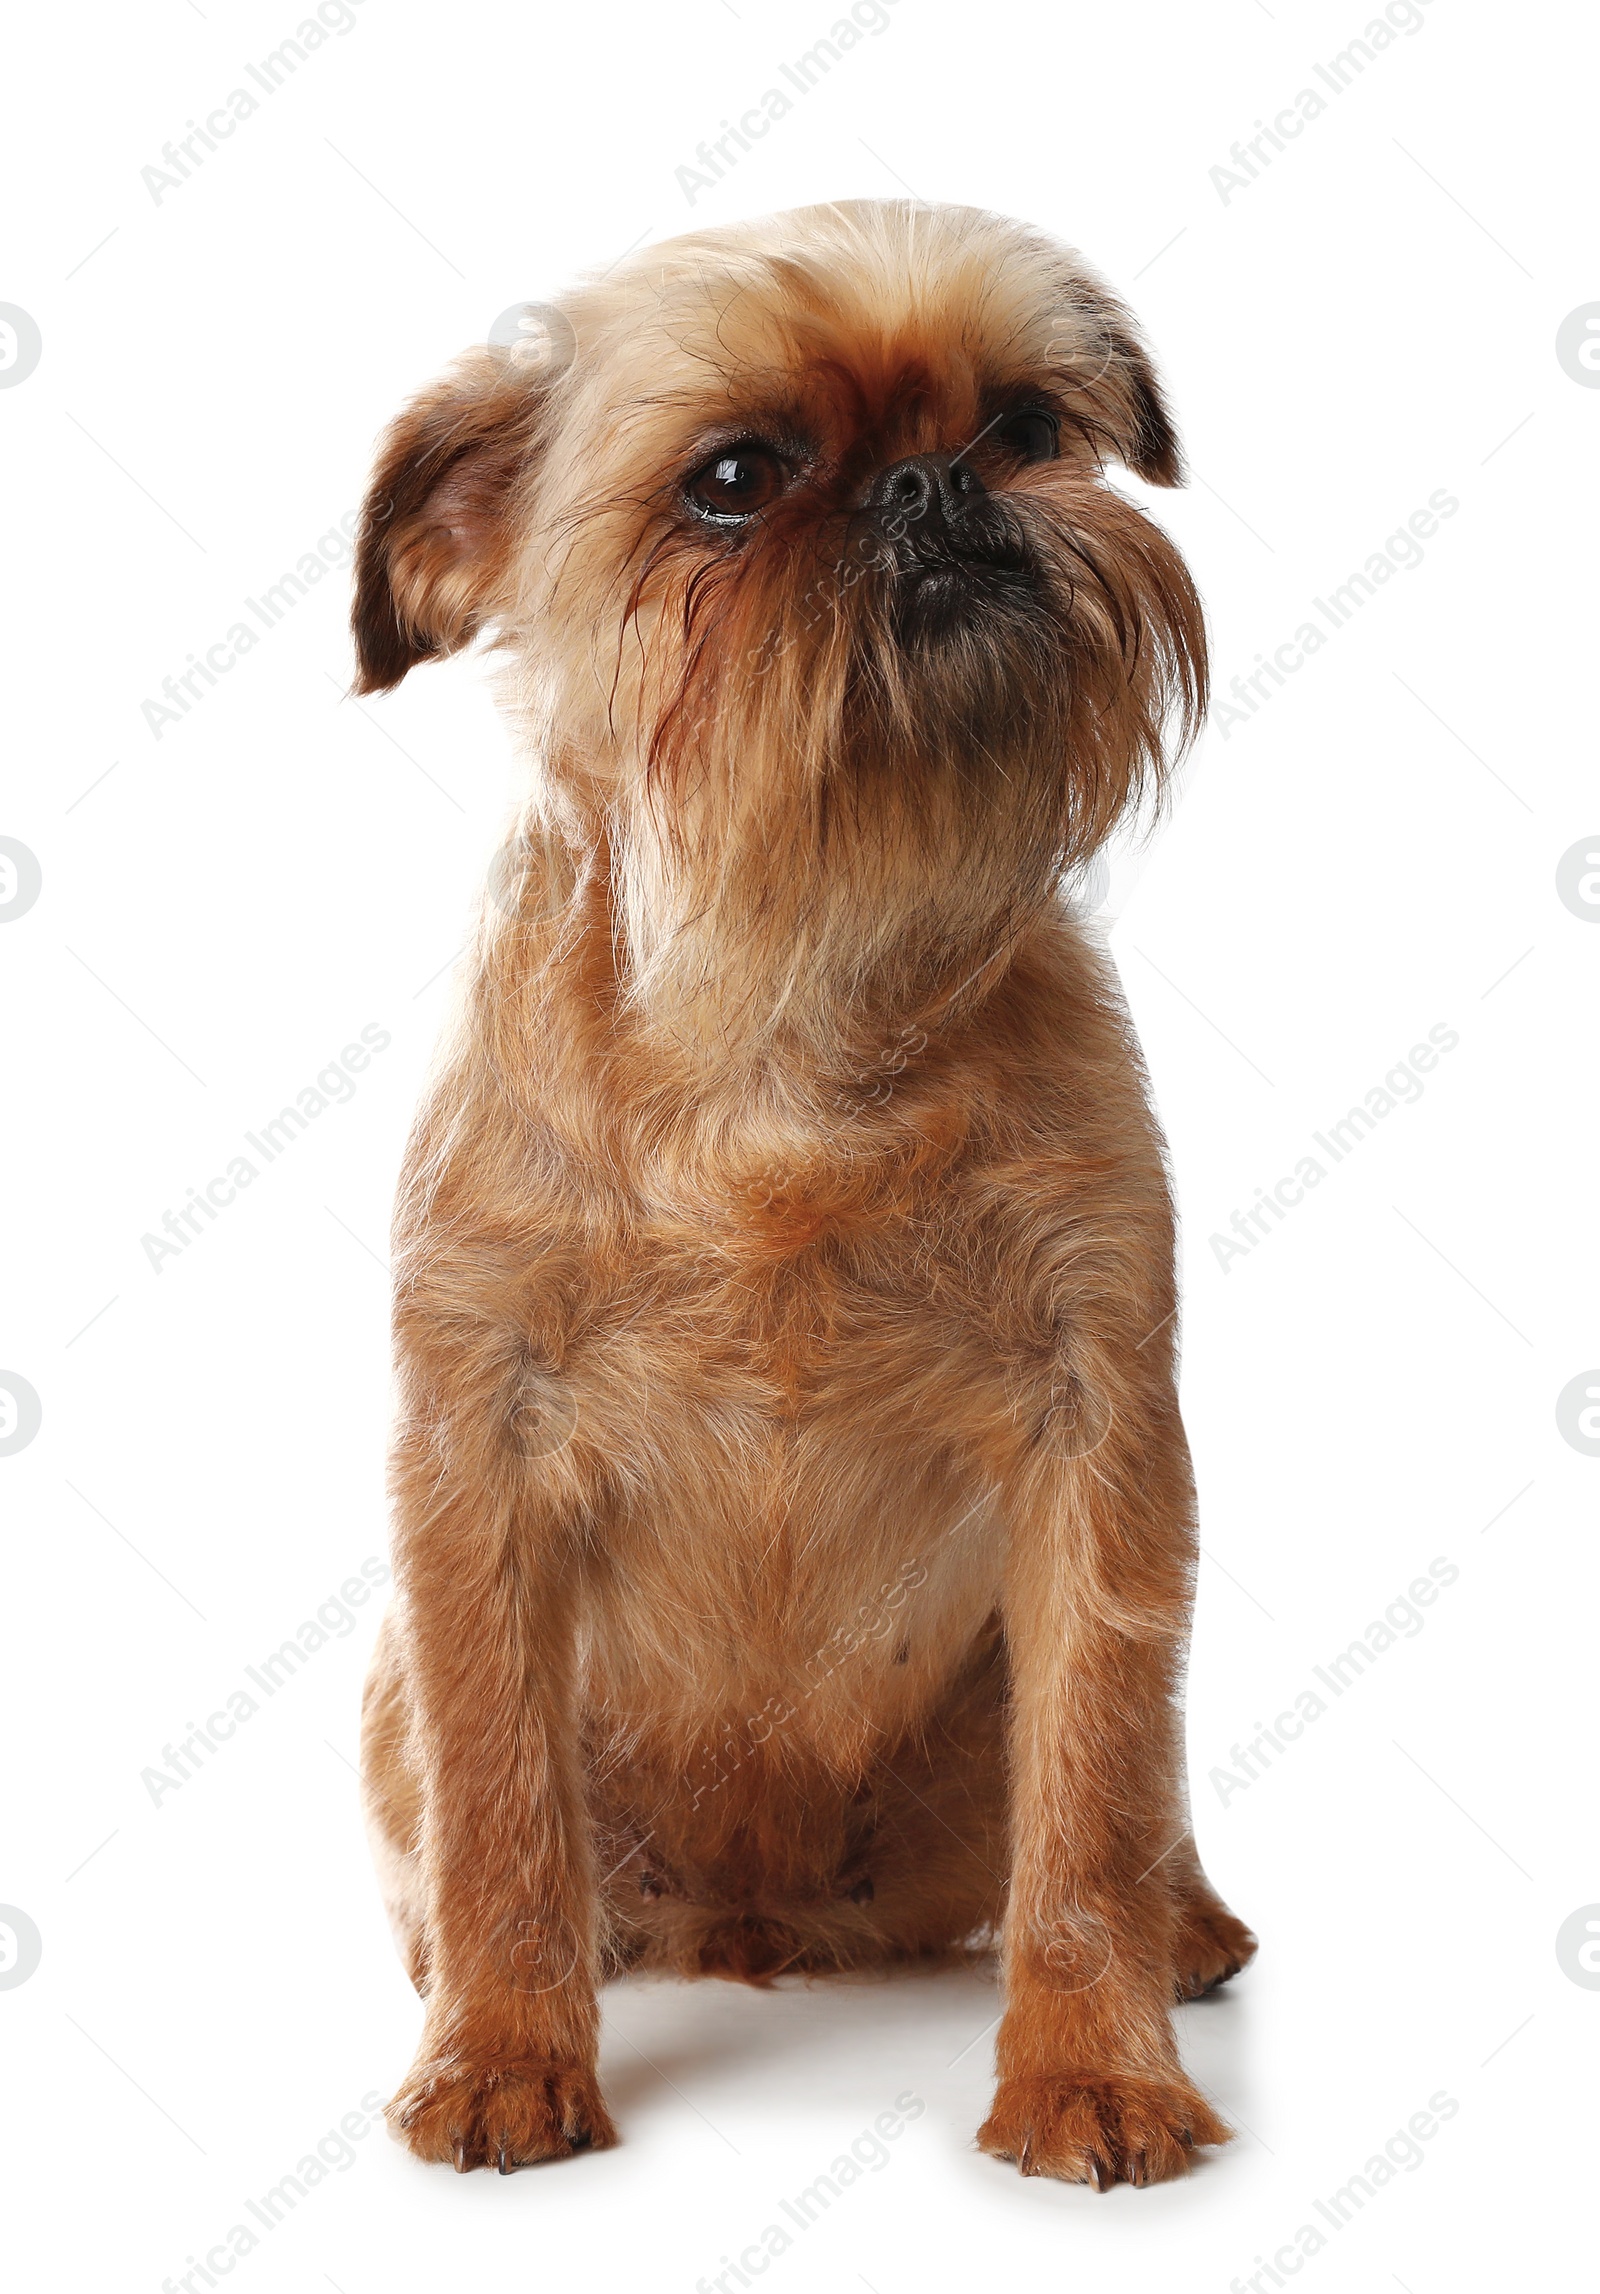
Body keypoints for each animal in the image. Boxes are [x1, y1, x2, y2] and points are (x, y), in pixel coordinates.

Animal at [355, 206, 1257, 2193]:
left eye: (1022, 425)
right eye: (734, 479)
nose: (934, 483)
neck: (790, 1005)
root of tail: (762, 1924)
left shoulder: (1100, 1437)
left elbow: (1095, 1789)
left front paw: (1095, 2067)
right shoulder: (478, 1455)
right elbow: (497, 1790)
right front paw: (502, 2048)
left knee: (1140, 1799)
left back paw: (1192, 1925)